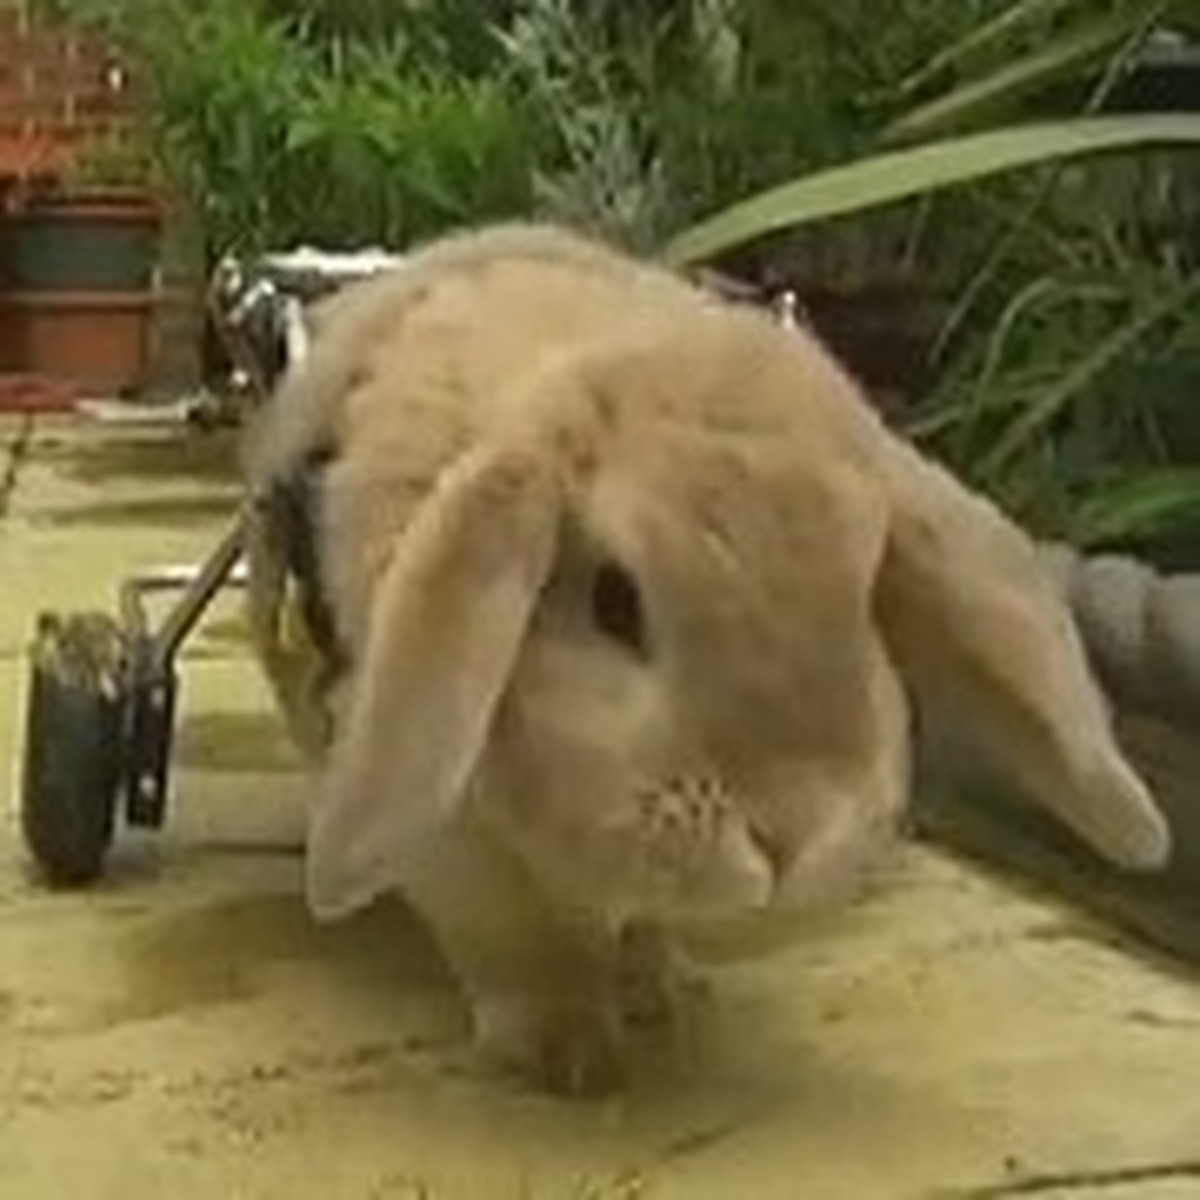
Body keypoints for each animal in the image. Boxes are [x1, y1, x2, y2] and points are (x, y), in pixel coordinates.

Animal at [242, 221, 1170, 1096]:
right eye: (615, 603)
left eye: (864, 595)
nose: (792, 835)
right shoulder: (455, 844)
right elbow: (520, 944)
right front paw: (570, 1055)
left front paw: (666, 996)